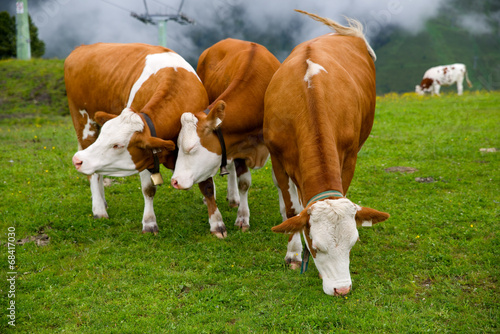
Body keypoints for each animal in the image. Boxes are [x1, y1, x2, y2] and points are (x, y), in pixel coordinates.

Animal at [65, 42, 226, 235]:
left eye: (117, 145)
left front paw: (217, 223)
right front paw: (149, 223)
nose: (76, 160)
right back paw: (99, 209)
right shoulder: (145, 155)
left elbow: (207, 186)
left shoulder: (201, 144)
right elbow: (149, 189)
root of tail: (82, 48)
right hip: (83, 123)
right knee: (93, 174)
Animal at [264, 10, 388, 296]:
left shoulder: (350, 156)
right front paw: (293, 253)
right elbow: (292, 210)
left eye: (353, 243)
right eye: (316, 245)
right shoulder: (277, 158)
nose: (342, 289)